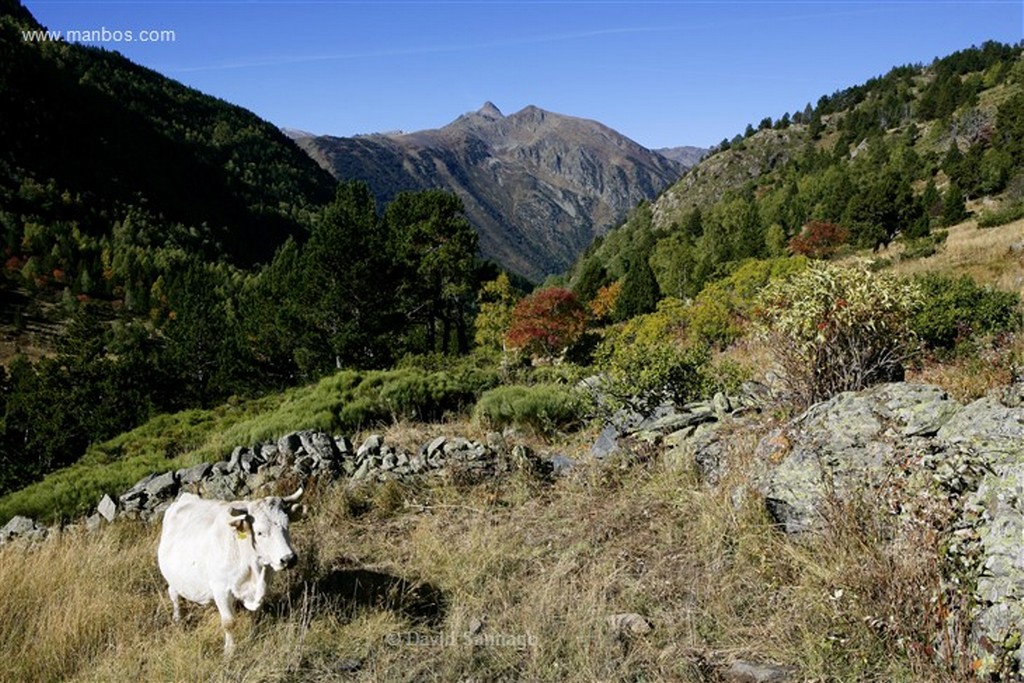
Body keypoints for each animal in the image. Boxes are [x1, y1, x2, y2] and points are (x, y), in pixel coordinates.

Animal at [153, 489, 301, 655]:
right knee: (173, 594)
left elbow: (256, 615)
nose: (289, 559)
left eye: (287, 525)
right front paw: (229, 650)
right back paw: (177, 618)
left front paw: (254, 634)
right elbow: (228, 622)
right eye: (260, 532)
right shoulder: (221, 589)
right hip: (172, 577)